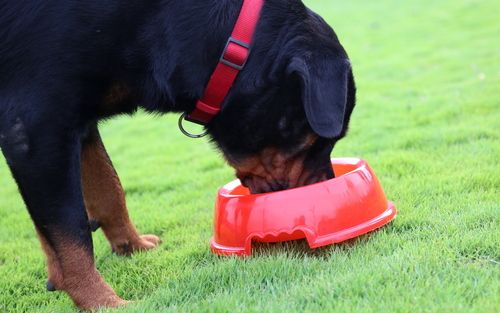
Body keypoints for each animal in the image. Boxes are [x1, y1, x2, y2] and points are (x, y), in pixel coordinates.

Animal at [0, 0, 356, 308]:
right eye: (315, 142)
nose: (326, 185)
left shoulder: (80, 120)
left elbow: (108, 188)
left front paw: (132, 247)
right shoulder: (36, 127)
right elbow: (71, 233)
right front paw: (102, 302)